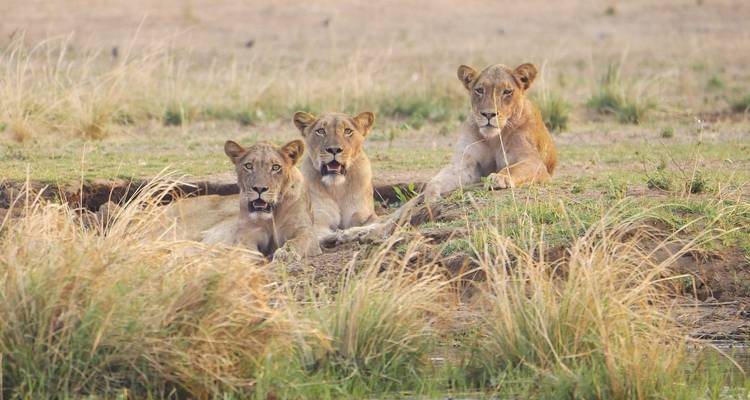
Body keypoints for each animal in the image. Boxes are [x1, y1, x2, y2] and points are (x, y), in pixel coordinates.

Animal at [423, 62, 557, 200]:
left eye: (507, 91)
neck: (494, 139)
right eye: (479, 90)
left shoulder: (534, 162)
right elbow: (441, 178)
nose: (488, 114)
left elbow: (513, 169)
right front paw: (430, 194)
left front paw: (499, 177)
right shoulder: (466, 164)